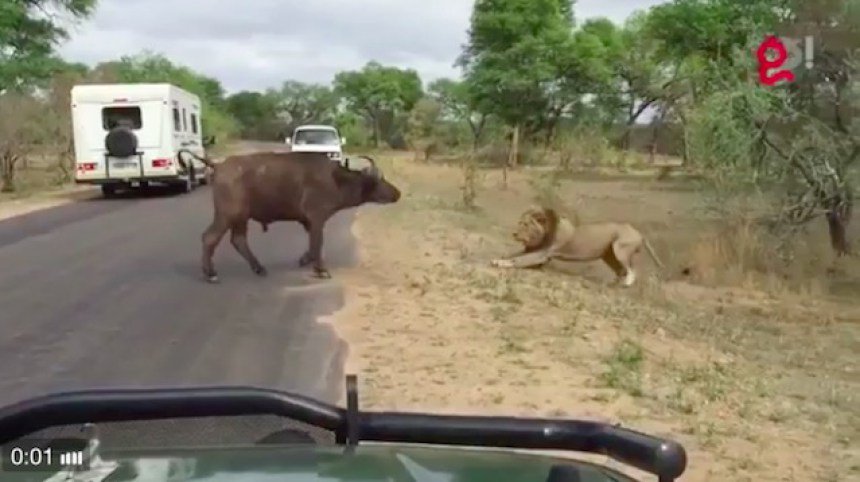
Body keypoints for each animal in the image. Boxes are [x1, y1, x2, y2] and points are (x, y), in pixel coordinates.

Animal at [178, 150, 401, 282]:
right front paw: (320, 269)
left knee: (238, 240)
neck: (336, 179)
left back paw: (259, 268)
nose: (397, 193)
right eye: (380, 181)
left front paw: (306, 260)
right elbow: (317, 243)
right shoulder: (317, 218)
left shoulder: (309, 222)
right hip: (227, 214)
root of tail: (219, 165)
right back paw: (211, 273)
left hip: (240, 218)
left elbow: (313, 245)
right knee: (210, 238)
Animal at [490, 207, 664, 287]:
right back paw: (612, 284)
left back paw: (626, 284)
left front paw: (501, 263)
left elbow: (517, 260)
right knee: (620, 270)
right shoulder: (536, 252)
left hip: (619, 249)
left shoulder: (542, 255)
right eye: (519, 223)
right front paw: (498, 259)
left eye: (526, 225)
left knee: (631, 269)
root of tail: (638, 231)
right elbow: (513, 255)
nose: (514, 233)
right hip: (609, 255)